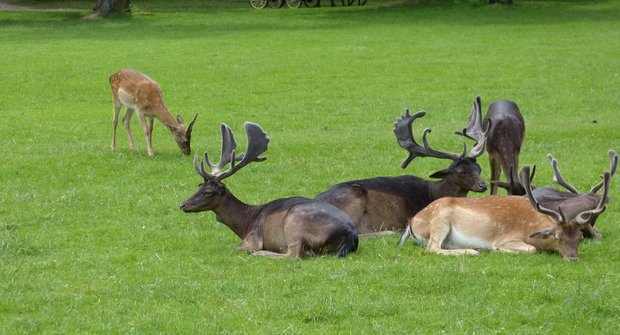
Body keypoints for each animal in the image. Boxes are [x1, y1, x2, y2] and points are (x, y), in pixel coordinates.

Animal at [179, 122, 358, 260]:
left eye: (208, 191)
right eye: (199, 187)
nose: (183, 205)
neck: (245, 222)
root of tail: (350, 233)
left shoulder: (253, 238)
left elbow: (234, 248)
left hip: (295, 224)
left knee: (293, 255)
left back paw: (259, 253)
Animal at [400, 164, 612, 262]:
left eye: (580, 238)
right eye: (558, 237)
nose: (573, 258)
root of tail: (412, 223)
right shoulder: (507, 238)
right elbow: (531, 249)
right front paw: (496, 250)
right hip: (440, 220)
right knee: (431, 248)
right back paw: (473, 251)